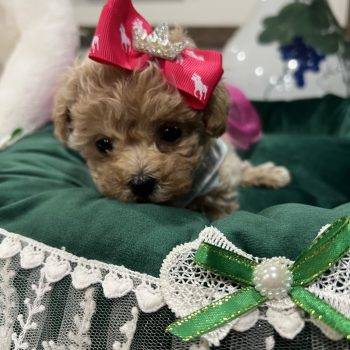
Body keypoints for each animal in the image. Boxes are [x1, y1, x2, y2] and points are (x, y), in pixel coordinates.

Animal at [52, 26, 290, 217]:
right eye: (102, 144)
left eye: (171, 133)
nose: (141, 184)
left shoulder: (218, 186)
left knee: (240, 168)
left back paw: (273, 174)